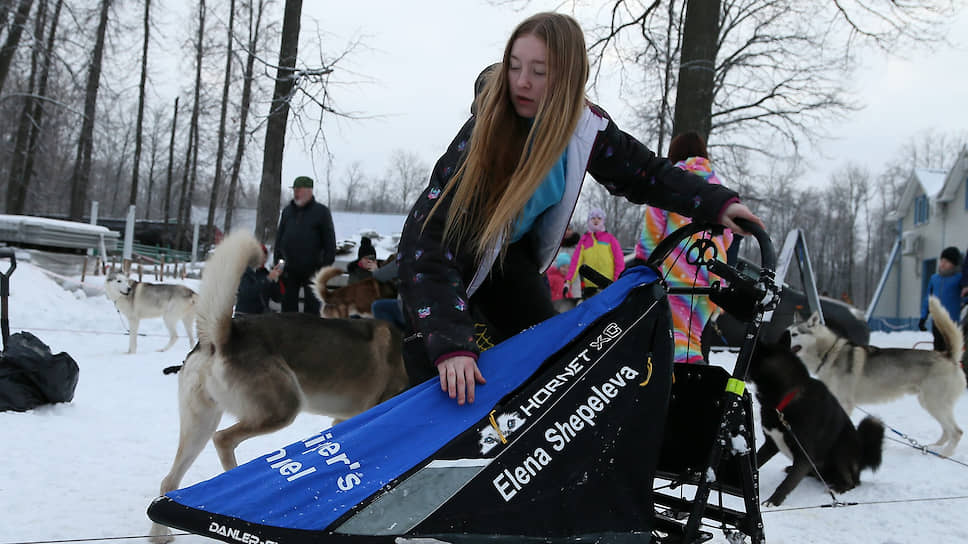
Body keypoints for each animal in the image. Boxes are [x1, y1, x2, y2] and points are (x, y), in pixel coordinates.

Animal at [148, 231, 408, 544]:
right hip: (282, 408)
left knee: (169, 481)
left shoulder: (343, 419)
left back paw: (159, 536)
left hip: (200, 424)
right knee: (223, 440)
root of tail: (222, 336)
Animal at [752, 332, 880, 506]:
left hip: (841, 450)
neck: (785, 399)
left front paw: (773, 501)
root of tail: (860, 462)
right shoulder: (771, 444)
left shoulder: (804, 455)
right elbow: (757, 461)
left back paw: (837, 488)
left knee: (852, 483)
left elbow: (787, 484)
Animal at [792, 298, 964, 454]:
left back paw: (944, 454)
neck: (829, 353)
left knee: (957, 432)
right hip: (928, 403)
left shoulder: (846, 403)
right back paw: (932, 448)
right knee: (947, 431)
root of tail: (948, 356)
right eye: (788, 332)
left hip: (934, 403)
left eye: (794, 334)